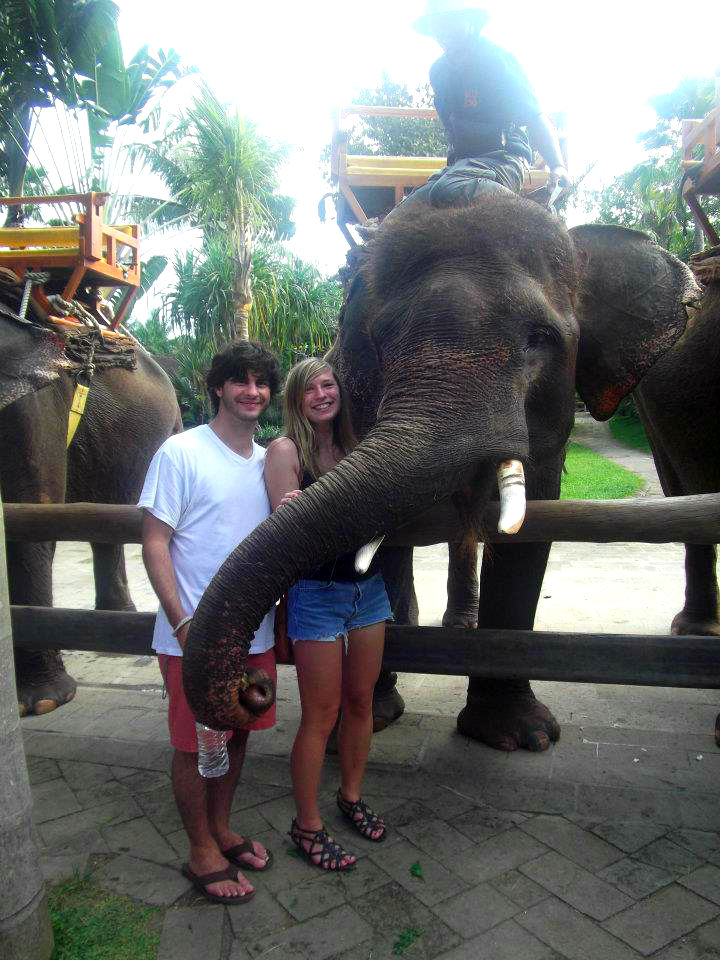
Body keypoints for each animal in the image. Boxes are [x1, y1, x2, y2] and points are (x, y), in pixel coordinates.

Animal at [181, 186, 699, 749]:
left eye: (540, 337)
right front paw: (371, 718)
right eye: (379, 340)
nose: (251, 687)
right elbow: (380, 543)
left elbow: (531, 527)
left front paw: (521, 737)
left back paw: (460, 629)